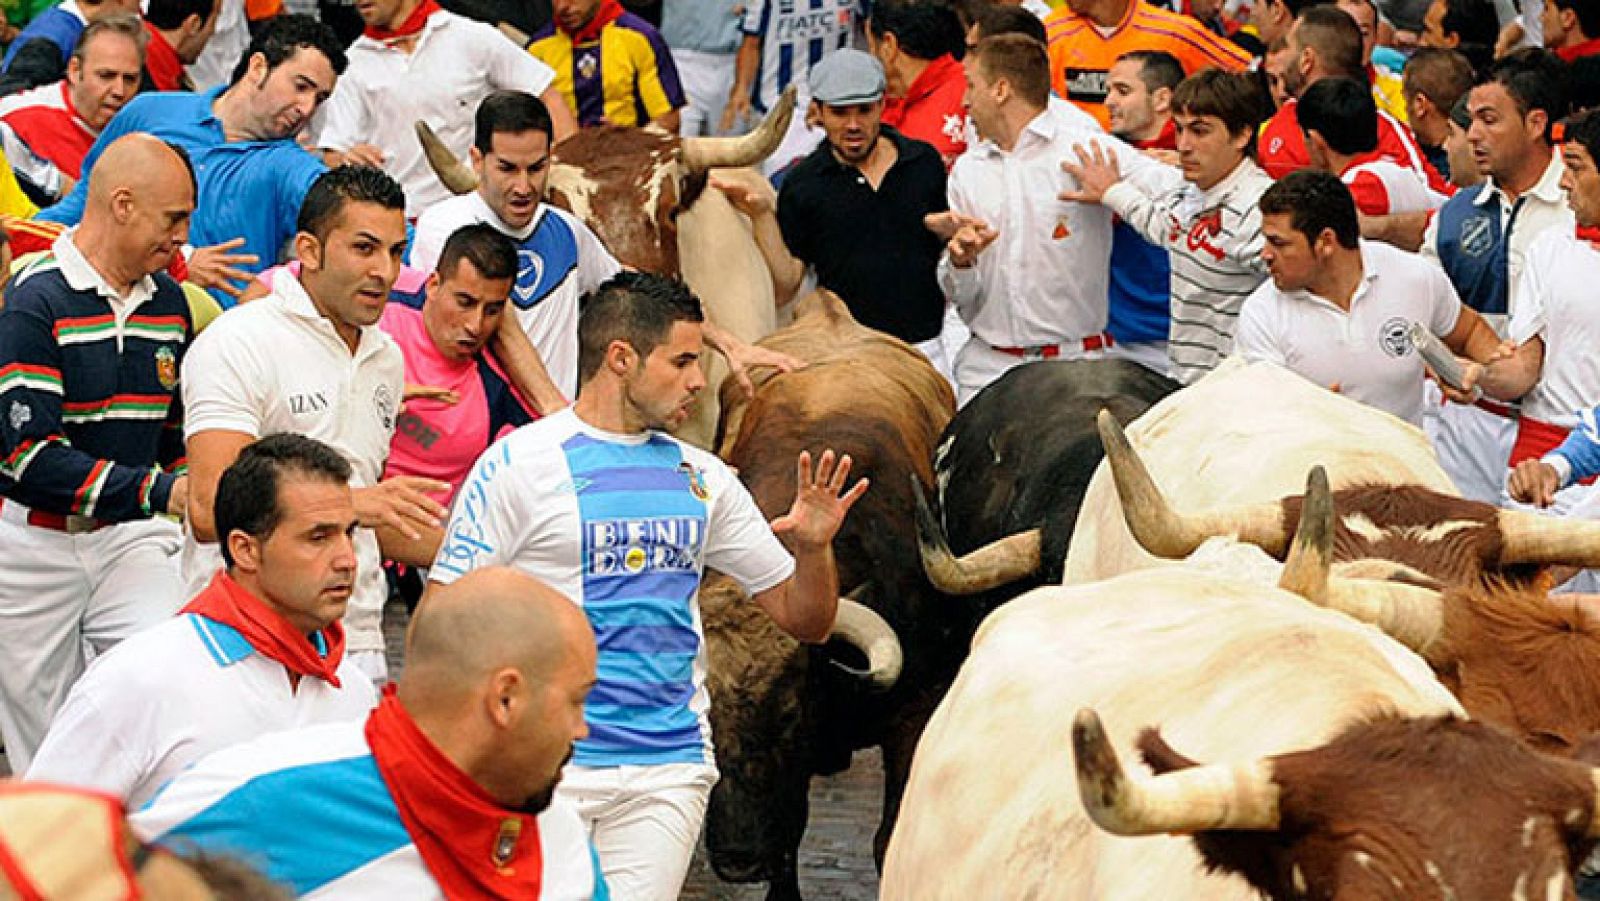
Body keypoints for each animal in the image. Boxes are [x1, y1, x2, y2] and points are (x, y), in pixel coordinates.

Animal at [697, 292, 947, 896]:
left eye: (788, 714)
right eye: (702, 726)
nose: (739, 858)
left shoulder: (914, 715)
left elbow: (888, 839)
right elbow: (789, 835)